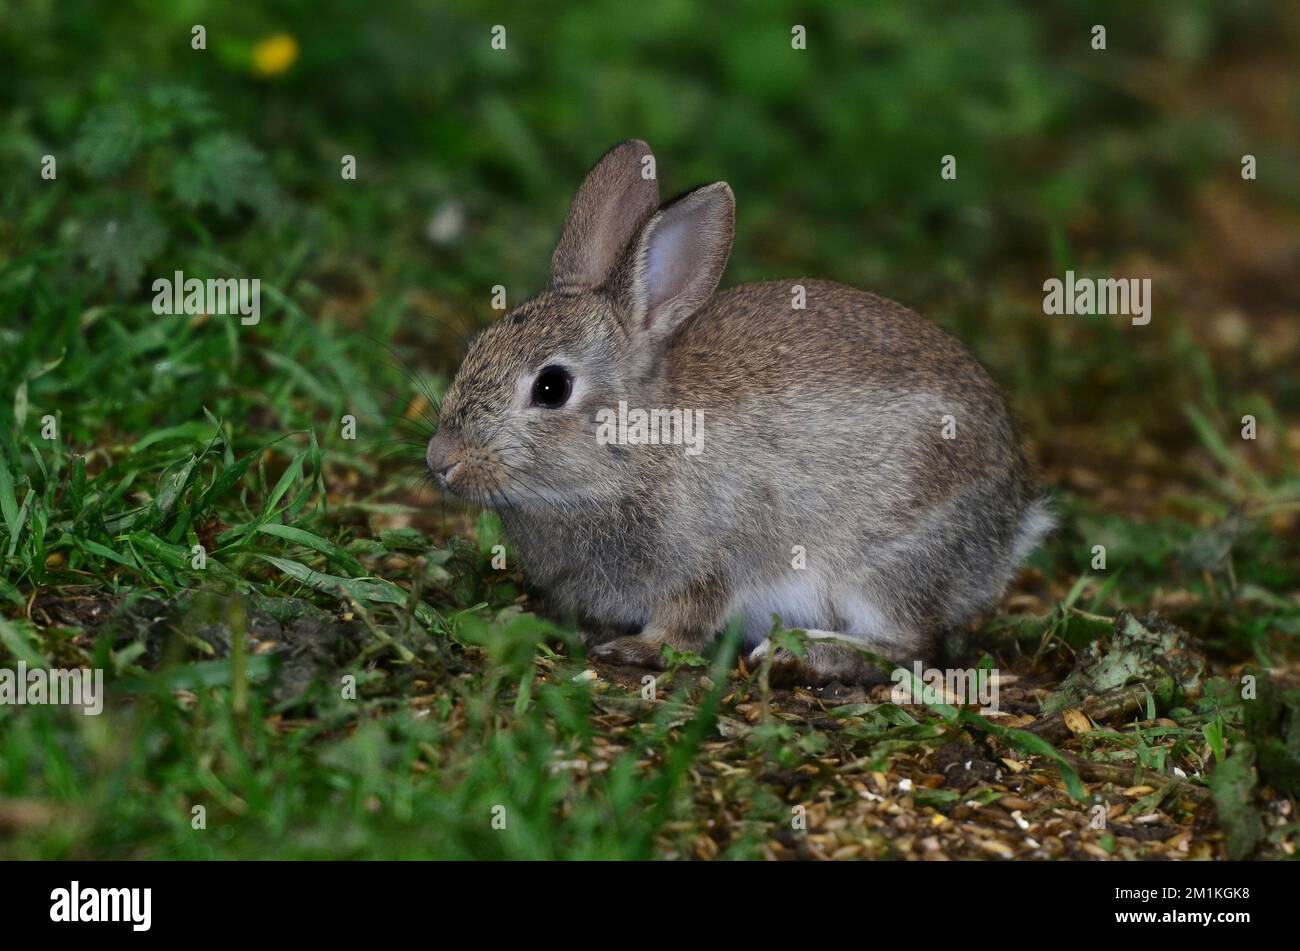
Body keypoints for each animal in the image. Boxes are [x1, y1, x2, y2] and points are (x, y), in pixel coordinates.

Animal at [428, 139, 1055, 685]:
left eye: (552, 387)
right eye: (476, 346)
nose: (441, 460)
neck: (639, 447)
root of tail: (1009, 526)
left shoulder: (715, 558)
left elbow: (690, 615)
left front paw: (638, 649)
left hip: (883, 563)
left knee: (910, 645)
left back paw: (801, 655)